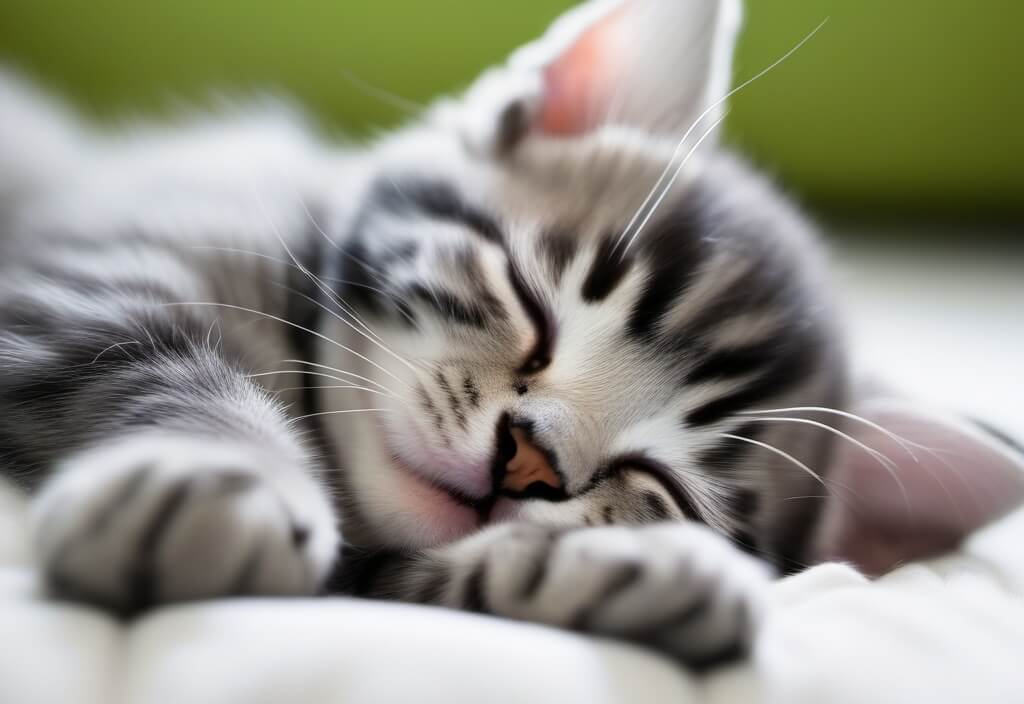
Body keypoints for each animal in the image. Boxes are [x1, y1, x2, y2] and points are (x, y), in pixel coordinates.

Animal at [2, 0, 1024, 667]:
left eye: (663, 485)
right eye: (533, 304)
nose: (526, 462)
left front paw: (617, 570)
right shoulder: (89, 271)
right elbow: (151, 362)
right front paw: (217, 477)